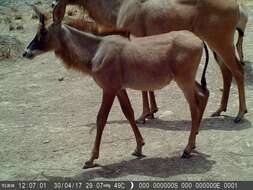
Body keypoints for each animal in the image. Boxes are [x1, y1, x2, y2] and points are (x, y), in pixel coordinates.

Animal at [23, 6, 210, 168]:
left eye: (43, 32)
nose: (26, 52)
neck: (97, 49)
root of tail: (198, 40)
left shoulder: (108, 89)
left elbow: (101, 119)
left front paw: (91, 159)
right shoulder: (120, 89)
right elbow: (129, 113)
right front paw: (138, 148)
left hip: (184, 81)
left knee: (194, 107)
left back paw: (187, 150)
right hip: (188, 80)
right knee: (203, 94)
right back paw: (193, 144)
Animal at [52, 0, 248, 123]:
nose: (54, 5)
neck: (121, 5)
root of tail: (237, 6)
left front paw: (144, 114)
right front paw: (152, 111)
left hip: (221, 42)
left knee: (238, 70)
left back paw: (240, 114)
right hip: (215, 45)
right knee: (226, 71)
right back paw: (220, 109)